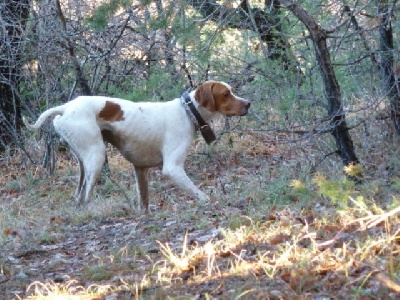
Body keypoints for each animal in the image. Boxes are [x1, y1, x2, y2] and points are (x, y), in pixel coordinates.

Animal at [24, 79, 250, 211]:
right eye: (226, 94)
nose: (248, 103)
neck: (187, 112)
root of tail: (65, 107)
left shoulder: (140, 169)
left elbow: (144, 203)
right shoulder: (173, 168)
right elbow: (200, 194)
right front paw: (212, 202)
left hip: (84, 162)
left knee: (79, 195)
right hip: (96, 157)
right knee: (86, 197)